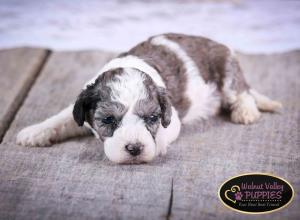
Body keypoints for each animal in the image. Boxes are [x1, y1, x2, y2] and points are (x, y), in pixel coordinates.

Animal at [17, 32, 282, 163]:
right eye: (108, 120)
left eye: (152, 118)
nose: (135, 148)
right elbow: (62, 118)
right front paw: (34, 132)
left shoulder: (172, 117)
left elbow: (166, 131)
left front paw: (157, 146)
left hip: (226, 68)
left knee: (242, 91)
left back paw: (246, 111)